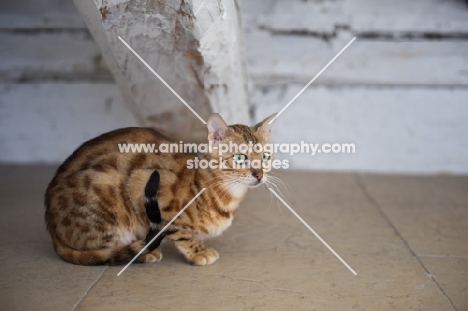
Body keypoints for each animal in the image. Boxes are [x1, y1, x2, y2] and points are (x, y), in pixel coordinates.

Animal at [43, 113, 276, 266]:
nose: (259, 174)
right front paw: (197, 251)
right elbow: (182, 233)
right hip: (106, 187)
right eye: (240, 158)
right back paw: (142, 253)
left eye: (265, 156)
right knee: (105, 251)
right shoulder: (143, 184)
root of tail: (52, 230)